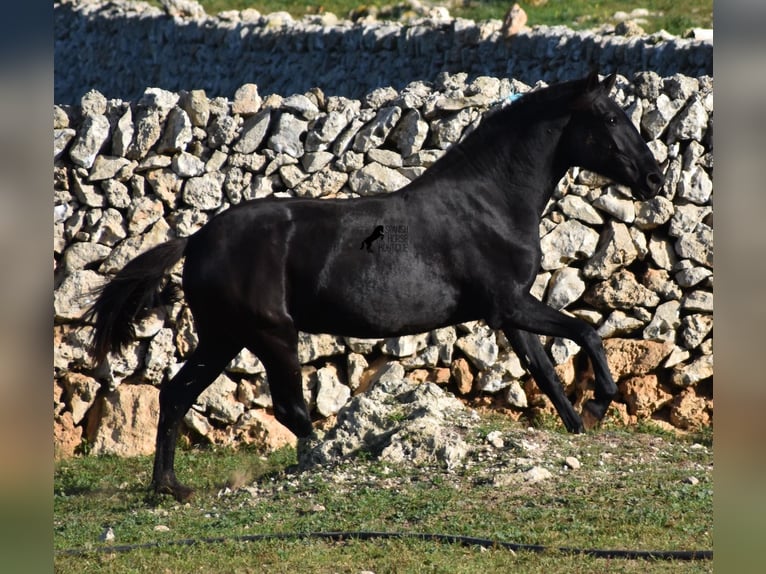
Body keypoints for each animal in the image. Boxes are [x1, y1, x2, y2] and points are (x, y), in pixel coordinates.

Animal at [87, 73, 664, 504]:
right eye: (611, 118)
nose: (655, 179)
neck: (489, 204)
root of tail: (198, 239)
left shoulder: (509, 313)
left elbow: (544, 369)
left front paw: (578, 424)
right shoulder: (511, 305)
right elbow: (587, 333)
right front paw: (599, 404)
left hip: (223, 337)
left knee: (175, 395)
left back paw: (170, 488)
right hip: (271, 336)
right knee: (289, 411)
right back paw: (324, 459)